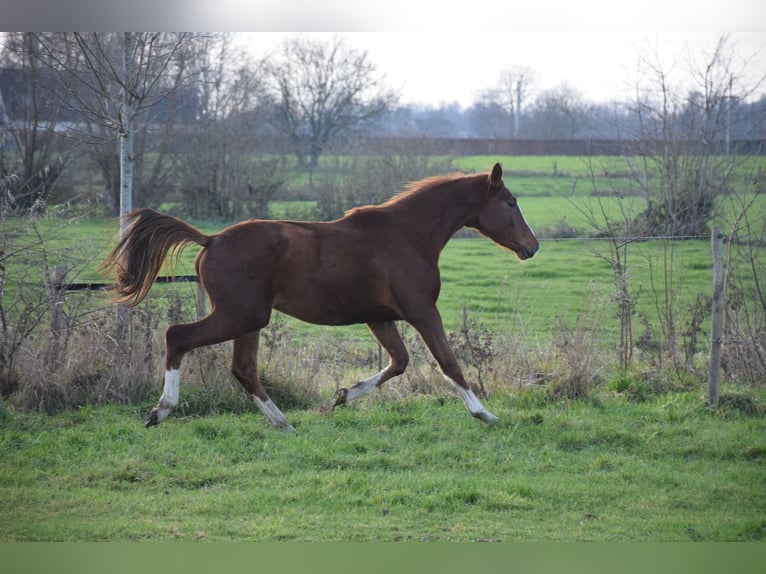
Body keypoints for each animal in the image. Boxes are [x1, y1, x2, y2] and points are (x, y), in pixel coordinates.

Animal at [101, 163, 539, 431]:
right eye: (511, 202)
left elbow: (399, 362)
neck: (407, 236)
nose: (532, 246)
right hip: (239, 316)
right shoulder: (422, 311)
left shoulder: (380, 317)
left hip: (249, 320)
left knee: (243, 369)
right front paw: (485, 414)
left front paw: (344, 395)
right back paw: (161, 410)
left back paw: (283, 423)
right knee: (177, 336)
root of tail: (210, 240)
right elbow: (448, 362)